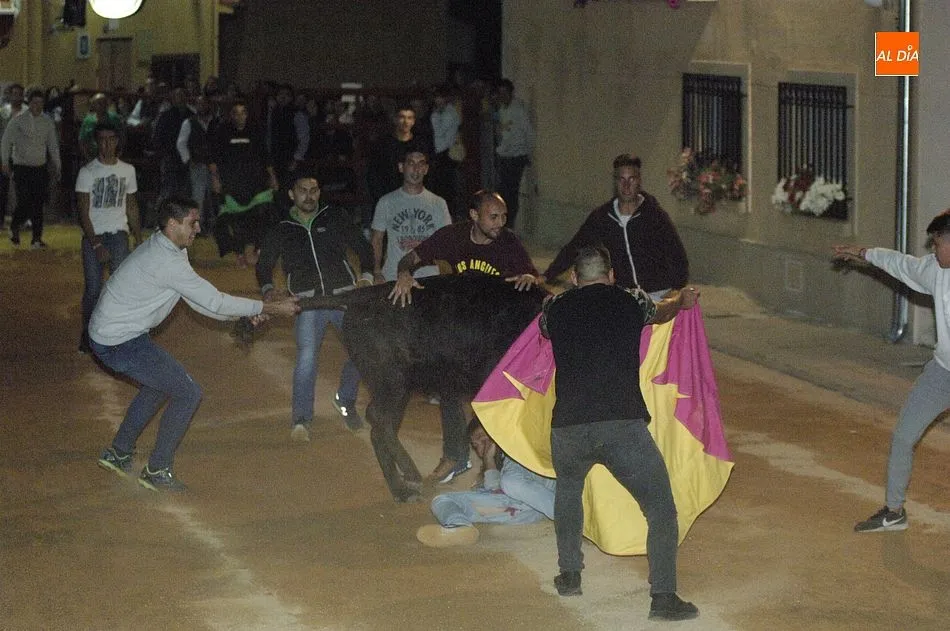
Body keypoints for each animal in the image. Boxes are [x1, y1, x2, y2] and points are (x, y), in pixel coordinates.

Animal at [239, 274, 547, 502]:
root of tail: (359, 296)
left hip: (393, 385)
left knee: (379, 420)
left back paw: (407, 479)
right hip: (394, 383)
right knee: (380, 425)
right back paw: (405, 486)